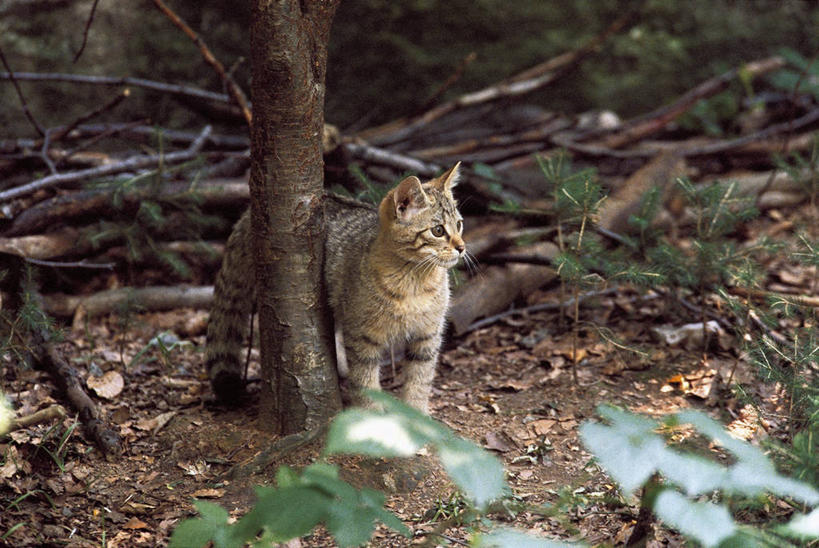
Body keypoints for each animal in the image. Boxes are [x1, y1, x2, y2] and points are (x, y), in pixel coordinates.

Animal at [208, 163, 464, 412]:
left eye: (459, 224)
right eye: (438, 230)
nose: (462, 247)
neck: (414, 281)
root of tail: (252, 212)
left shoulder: (428, 336)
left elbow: (419, 382)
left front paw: (417, 417)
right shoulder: (362, 338)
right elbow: (365, 383)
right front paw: (373, 417)